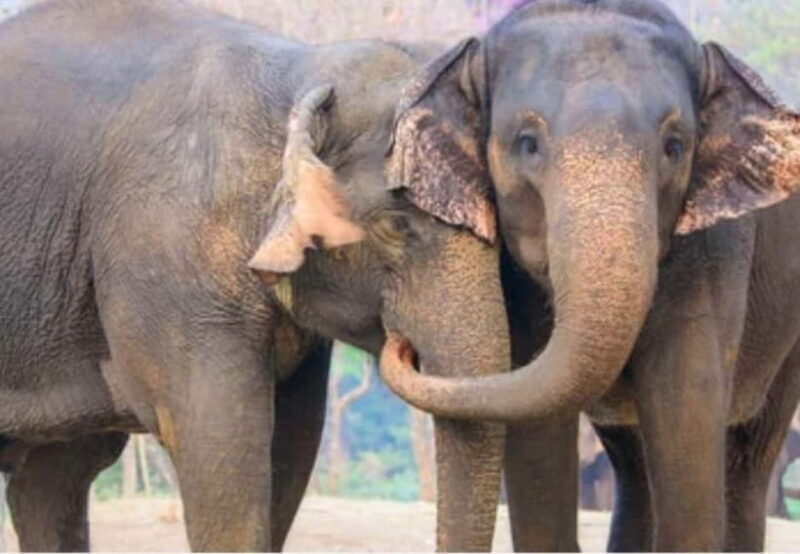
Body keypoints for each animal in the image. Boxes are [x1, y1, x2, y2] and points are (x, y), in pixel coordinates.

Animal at [0, 1, 509, 551]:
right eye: (397, 224)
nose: (404, 347)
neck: (299, 73)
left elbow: (292, 444)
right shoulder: (171, 256)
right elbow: (218, 448)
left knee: (52, 478)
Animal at [379, 0, 800, 551]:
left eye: (674, 147)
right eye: (528, 144)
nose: (401, 345)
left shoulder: (718, 243)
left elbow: (686, 399)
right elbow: (538, 415)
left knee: (746, 458)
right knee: (634, 463)